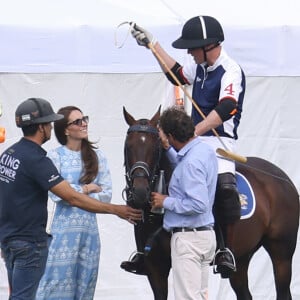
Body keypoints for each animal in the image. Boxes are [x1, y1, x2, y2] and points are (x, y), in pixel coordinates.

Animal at [122, 106, 300, 300]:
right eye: (128, 147)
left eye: (156, 148)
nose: (140, 193)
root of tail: (283, 178)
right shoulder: (155, 267)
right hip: (242, 257)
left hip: (282, 253)